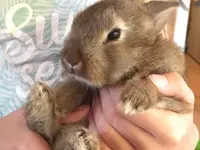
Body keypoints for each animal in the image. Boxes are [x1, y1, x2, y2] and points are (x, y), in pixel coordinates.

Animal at [24, 0, 192, 149]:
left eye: (115, 34)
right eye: (74, 25)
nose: (69, 59)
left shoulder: (180, 100)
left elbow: (150, 79)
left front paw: (133, 101)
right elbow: (80, 83)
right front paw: (62, 101)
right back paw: (42, 100)